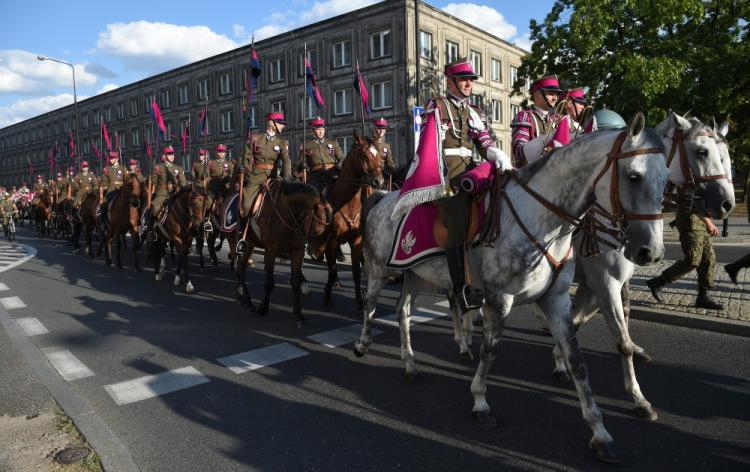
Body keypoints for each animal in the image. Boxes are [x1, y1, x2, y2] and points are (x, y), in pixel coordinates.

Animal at [234, 179, 330, 326]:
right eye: (317, 230)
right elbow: (269, 283)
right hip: (243, 241)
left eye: (331, 231)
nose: (317, 255)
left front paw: (299, 315)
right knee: (240, 266)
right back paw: (249, 304)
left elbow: (295, 283)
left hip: (251, 243)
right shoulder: (271, 251)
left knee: (240, 266)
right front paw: (263, 308)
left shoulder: (298, 252)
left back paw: (242, 297)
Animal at [308, 132, 384, 310]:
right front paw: (327, 297)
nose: (379, 181)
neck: (346, 203)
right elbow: (332, 270)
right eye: (364, 156)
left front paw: (359, 301)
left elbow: (355, 272)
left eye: (379, 155)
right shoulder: (331, 241)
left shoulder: (356, 241)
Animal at [356, 112, 668, 462]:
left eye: (667, 177)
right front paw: (480, 402)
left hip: (415, 274)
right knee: (370, 303)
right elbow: (490, 351)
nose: (652, 252)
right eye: (634, 176)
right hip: (379, 268)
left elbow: (578, 360)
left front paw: (600, 430)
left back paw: (410, 364)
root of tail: (385, 196)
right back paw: (363, 344)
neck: (543, 219)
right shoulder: (501, 298)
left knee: (403, 312)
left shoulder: (558, 299)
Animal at [560, 113, 740, 420]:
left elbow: (609, 321)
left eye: (726, 156)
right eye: (701, 152)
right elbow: (616, 338)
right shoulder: (604, 284)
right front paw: (638, 398)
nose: (727, 204)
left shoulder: (612, 284)